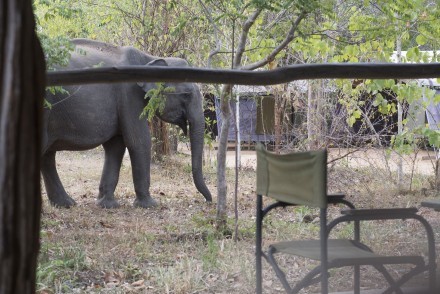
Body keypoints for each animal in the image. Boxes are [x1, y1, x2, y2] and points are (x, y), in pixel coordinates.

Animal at [42, 39, 212, 208]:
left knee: (48, 155)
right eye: (186, 94)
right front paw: (149, 205)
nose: (208, 200)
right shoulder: (129, 94)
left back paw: (65, 204)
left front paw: (107, 204)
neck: (150, 58)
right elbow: (139, 141)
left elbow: (115, 146)